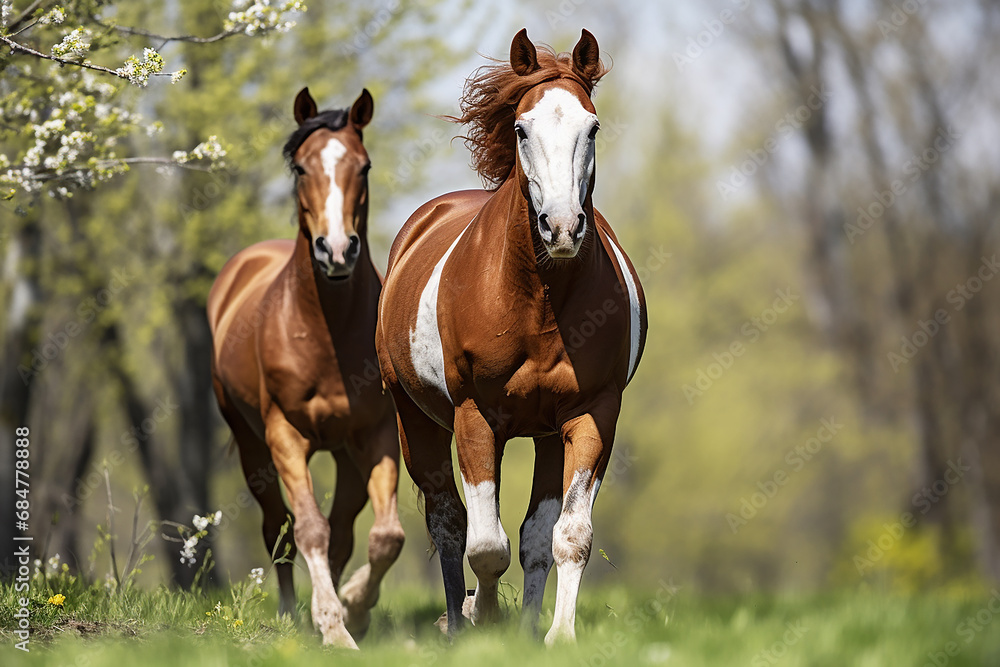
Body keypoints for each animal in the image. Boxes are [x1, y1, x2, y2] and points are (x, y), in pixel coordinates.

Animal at [207, 87, 404, 649]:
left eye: (364, 165)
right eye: (300, 167)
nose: (336, 250)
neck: (324, 331)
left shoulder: (377, 434)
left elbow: (385, 536)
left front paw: (352, 608)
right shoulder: (285, 436)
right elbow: (307, 528)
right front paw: (334, 629)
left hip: (345, 455)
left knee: (343, 532)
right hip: (251, 446)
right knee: (278, 528)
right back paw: (293, 613)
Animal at [375, 29, 646, 644]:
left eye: (592, 127)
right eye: (522, 129)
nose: (563, 227)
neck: (539, 303)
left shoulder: (593, 414)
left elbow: (566, 535)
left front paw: (557, 636)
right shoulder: (475, 417)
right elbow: (484, 545)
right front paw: (483, 620)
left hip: (545, 435)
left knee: (532, 537)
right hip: (415, 421)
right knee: (450, 522)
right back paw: (457, 618)